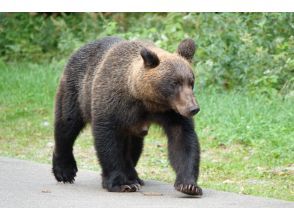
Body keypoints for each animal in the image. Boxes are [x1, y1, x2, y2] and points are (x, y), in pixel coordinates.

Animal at [52, 36, 202, 196]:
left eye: (191, 82)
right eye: (174, 83)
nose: (193, 108)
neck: (146, 100)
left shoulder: (171, 112)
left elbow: (183, 140)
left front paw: (189, 185)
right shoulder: (112, 104)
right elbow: (108, 141)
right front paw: (121, 184)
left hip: (135, 128)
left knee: (134, 147)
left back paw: (134, 177)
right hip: (77, 89)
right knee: (67, 124)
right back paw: (65, 171)